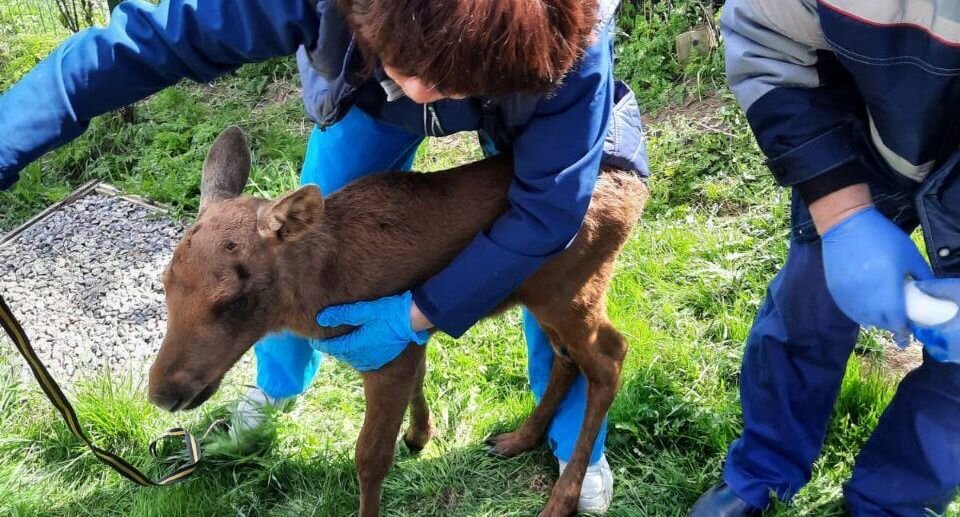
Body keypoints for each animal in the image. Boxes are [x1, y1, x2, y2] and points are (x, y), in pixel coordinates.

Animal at [148, 126, 644, 516]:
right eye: (165, 284)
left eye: (234, 301)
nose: (162, 392)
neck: (319, 293)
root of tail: (638, 187)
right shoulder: (409, 336)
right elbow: (420, 382)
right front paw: (421, 434)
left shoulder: (385, 350)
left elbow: (370, 457)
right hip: (543, 297)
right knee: (567, 359)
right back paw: (518, 439)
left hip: (573, 289)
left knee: (611, 356)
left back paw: (561, 499)